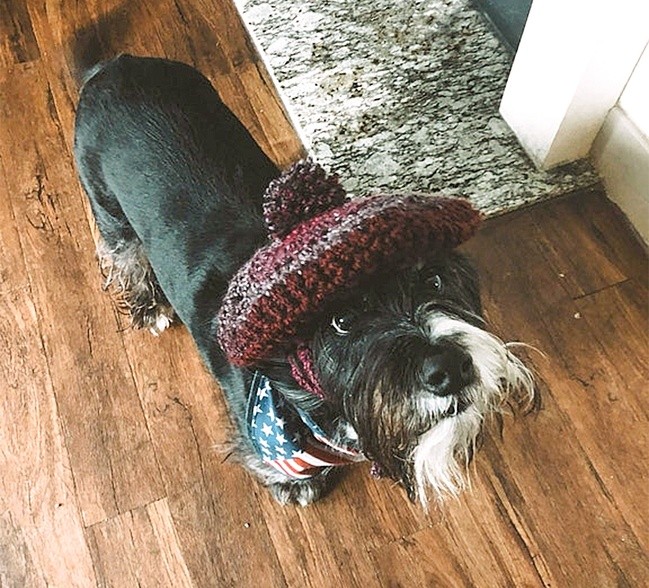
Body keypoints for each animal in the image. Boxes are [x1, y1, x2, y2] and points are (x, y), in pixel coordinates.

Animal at [73, 52, 536, 508]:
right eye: (342, 320)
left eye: (435, 281)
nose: (450, 368)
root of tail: (116, 65)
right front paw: (295, 485)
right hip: (108, 209)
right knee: (123, 255)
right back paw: (149, 306)